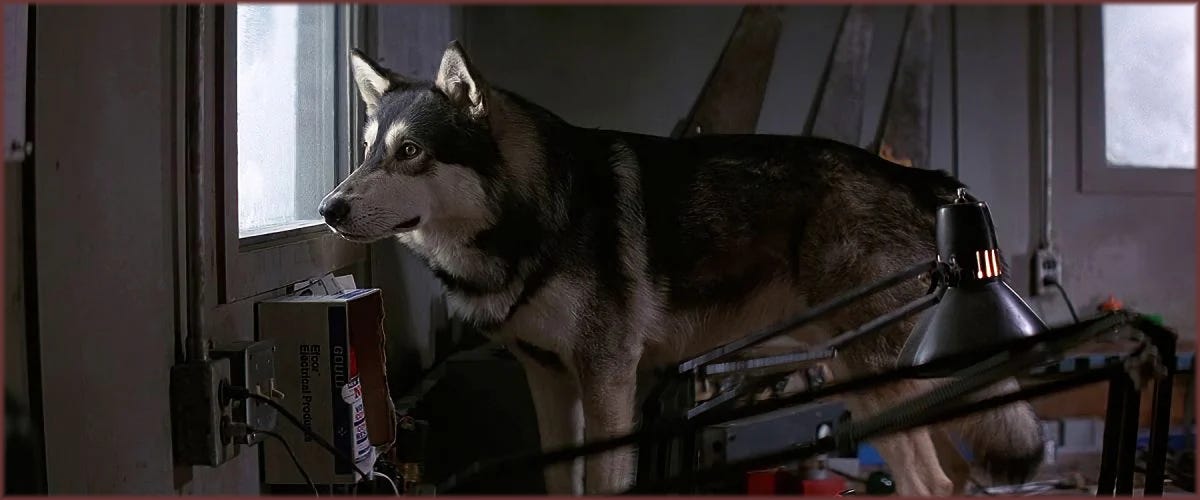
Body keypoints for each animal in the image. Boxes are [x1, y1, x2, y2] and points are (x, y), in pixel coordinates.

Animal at [319, 41, 1045, 495]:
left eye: (411, 151)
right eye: (367, 151)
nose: (327, 209)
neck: (538, 215)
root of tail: (920, 177)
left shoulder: (609, 381)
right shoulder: (549, 381)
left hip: (877, 373)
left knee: (938, 481)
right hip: (855, 377)